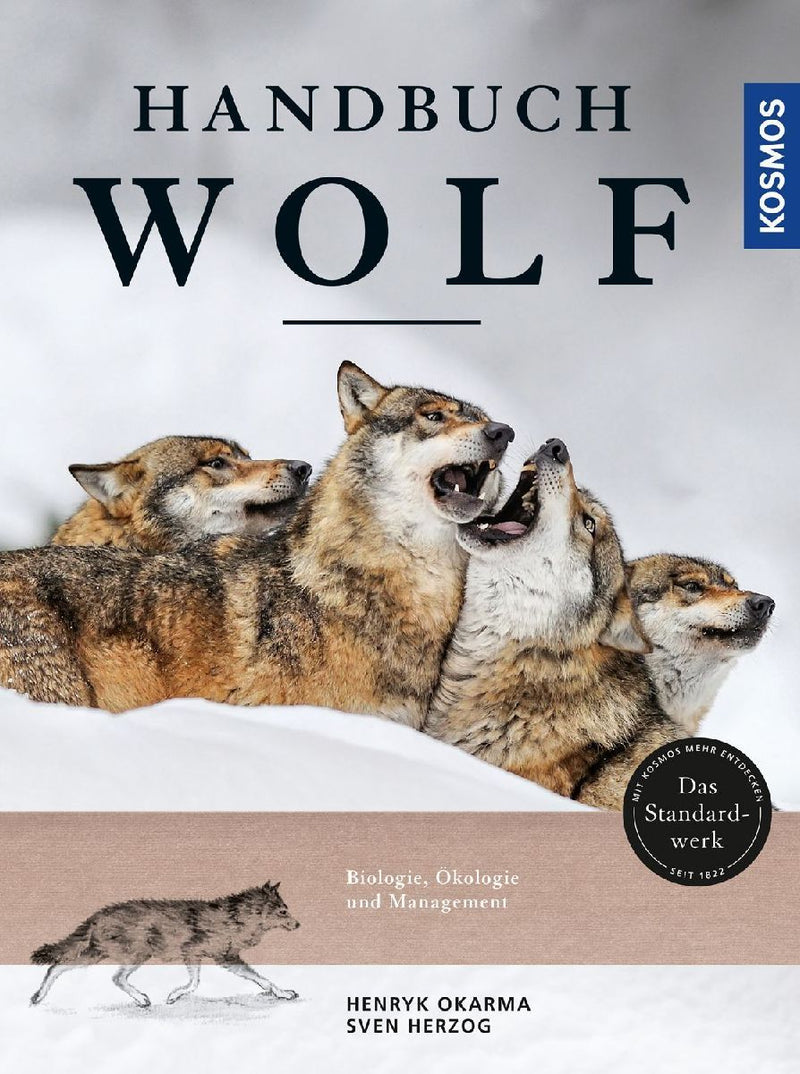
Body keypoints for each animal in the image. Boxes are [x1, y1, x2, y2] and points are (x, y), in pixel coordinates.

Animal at [29, 881, 299, 1008]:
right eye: (283, 911)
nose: (298, 924)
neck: (237, 917)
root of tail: (97, 915)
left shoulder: (224, 958)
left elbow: (264, 980)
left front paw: (283, 993)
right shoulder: (199, 953)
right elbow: (194, 983)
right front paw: (174, 996)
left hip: (95, 953)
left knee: (56, 966)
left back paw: (37, 996)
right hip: (136, 953)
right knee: (116, 978)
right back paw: (141, 999)